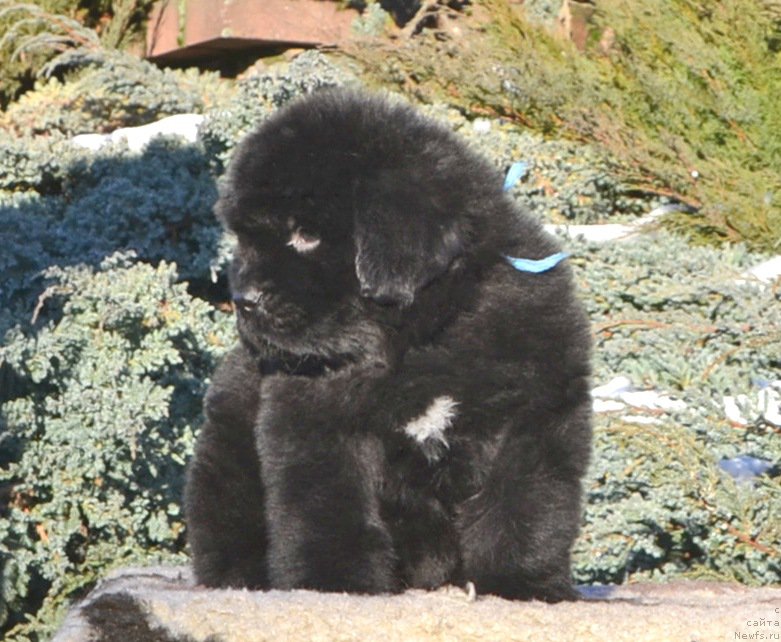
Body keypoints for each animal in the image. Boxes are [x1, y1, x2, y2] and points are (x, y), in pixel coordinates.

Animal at [184, 89, 592, 600]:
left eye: (306, 234)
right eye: (243, 239)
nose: (243, 300)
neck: (419, 343)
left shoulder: (533, 416)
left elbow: (522, 508)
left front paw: (522, 585)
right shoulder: (316, 423)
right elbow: (328, 511)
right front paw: (333, 585)